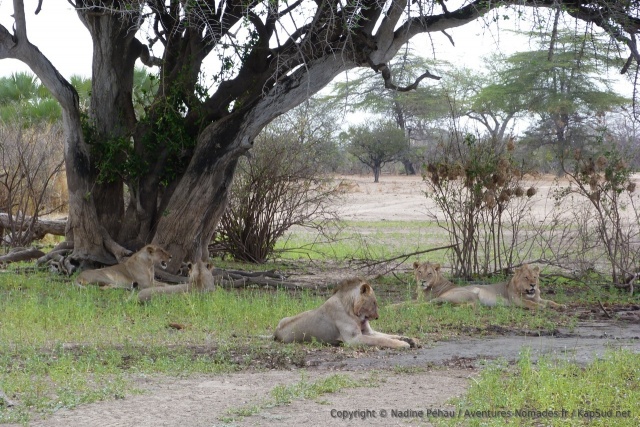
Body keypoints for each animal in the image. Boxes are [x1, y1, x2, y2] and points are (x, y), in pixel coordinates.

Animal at [274, 277, 418, 349]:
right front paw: (403, 344)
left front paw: (411, 339)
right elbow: (381, 339)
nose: (377, 317)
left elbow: (390, 335)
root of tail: (275, 332)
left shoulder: (367, 332)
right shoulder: (353, 339)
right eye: (374, 302)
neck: (355, 312)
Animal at [413, 261, 564, 309]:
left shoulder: (538, 297)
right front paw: (541, 307)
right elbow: (532, 304)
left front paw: (561, 305)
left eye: (535, 277)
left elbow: (549, 301)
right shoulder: (517, 301)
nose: (533, 285)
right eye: (526, 277)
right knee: (431, 303)